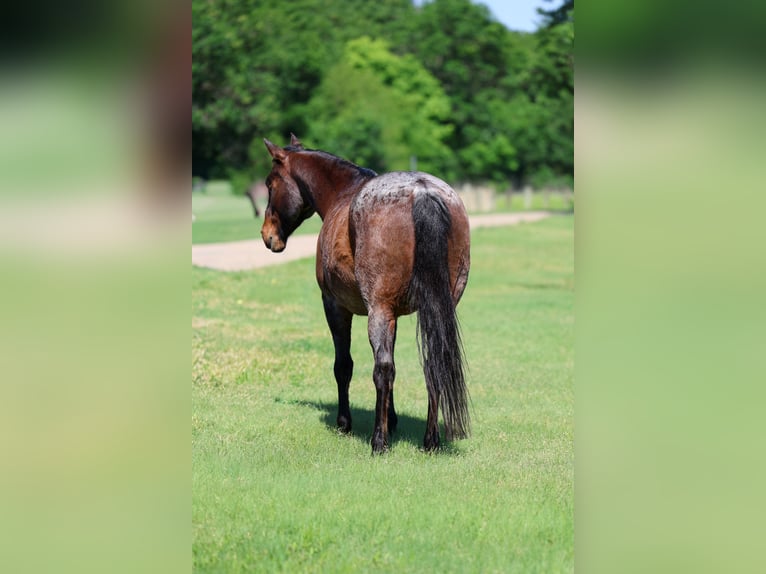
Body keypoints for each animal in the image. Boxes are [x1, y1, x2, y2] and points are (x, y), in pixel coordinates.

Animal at [261, 134, 471, 453]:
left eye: (270, 184)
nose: (267, 235)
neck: (342, 194)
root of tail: (422, 191)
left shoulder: (336, 307)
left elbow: (345, 366)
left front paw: (345, 423)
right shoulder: (394, 314)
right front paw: (392, 420)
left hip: (377, 310)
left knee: (382, 369)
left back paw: (378, 441)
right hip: (437, 308)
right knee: (432, 364)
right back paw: (430, 440)